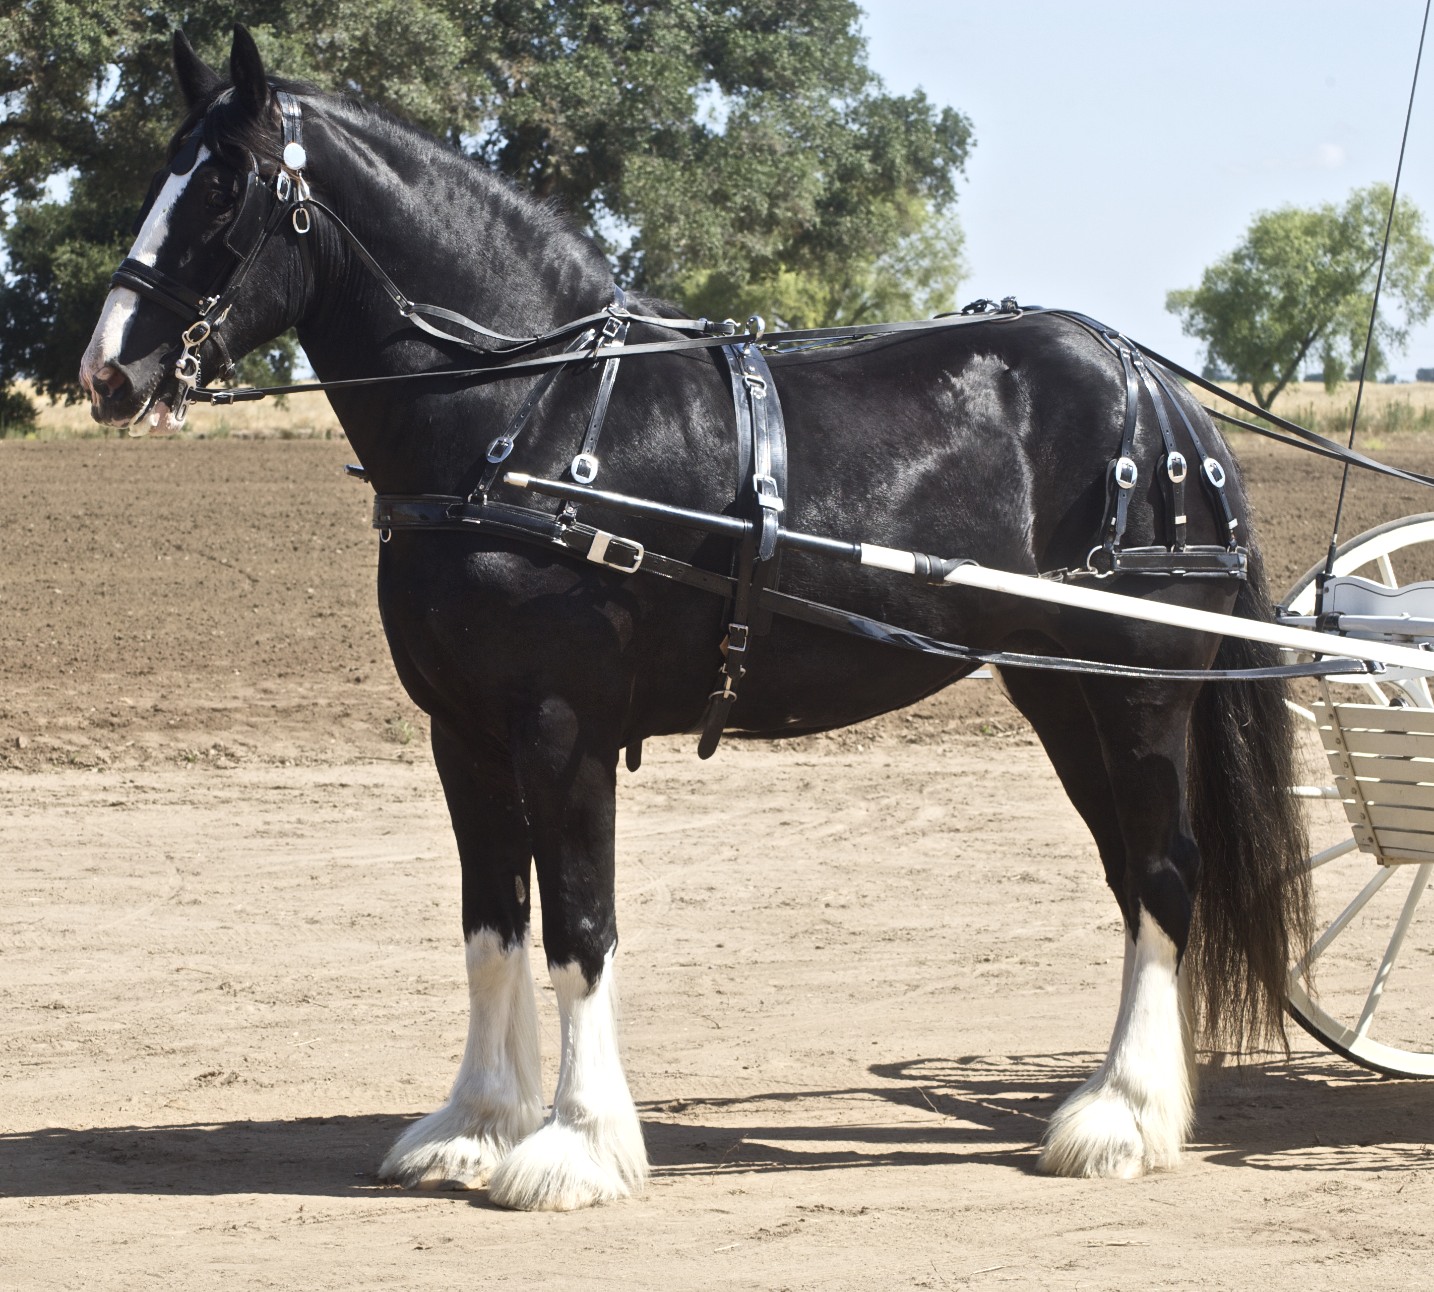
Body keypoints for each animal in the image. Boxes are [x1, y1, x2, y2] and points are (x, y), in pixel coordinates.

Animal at [79, 27, 1310, 1210]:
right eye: (162, 172)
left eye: (223, 186)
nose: (105, 372)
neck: (526, 414)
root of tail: (1157, 390)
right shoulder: (463, 733)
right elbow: (492, 926)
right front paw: (477, 1124)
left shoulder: (561, 725)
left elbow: (579, 930)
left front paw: (575, 1148)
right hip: (1058, 687)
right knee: (1131, 872)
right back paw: (1114, 1104)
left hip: (1139, 691)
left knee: (1164, 869)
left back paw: (1126, 1119)